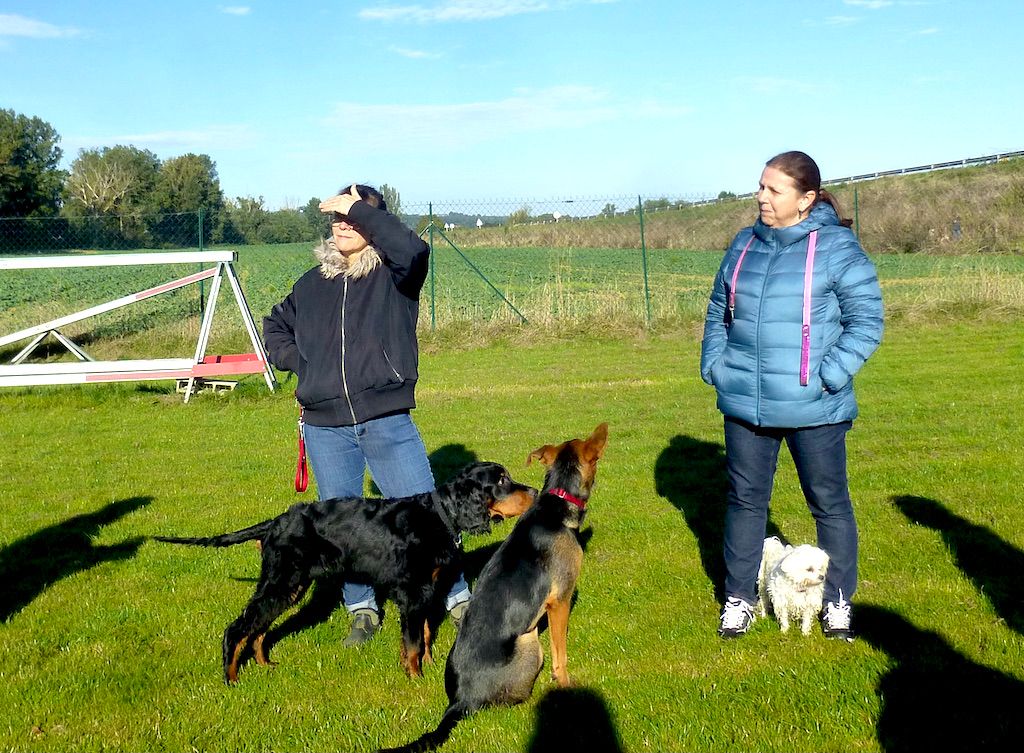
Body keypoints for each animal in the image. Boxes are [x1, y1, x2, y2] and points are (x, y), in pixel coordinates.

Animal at [155, 463, 536, 684]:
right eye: (501, 480)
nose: (534, 491)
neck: (438, 516)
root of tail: (277, 522)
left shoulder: (426, 589)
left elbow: (425, 633)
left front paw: (427, 663)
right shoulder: (413, 592)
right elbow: (414, 640)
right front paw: (415, 676)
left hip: (290, 585)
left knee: (260, 628)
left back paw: (265, 665)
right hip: (283, 580)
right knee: (238, 628)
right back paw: (231, 678)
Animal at [385, 424, 606, 753]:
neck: (555, 504)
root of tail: (460, 701)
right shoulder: (560, 601)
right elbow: (561, 654)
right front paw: (566, 685)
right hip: (530, 644)